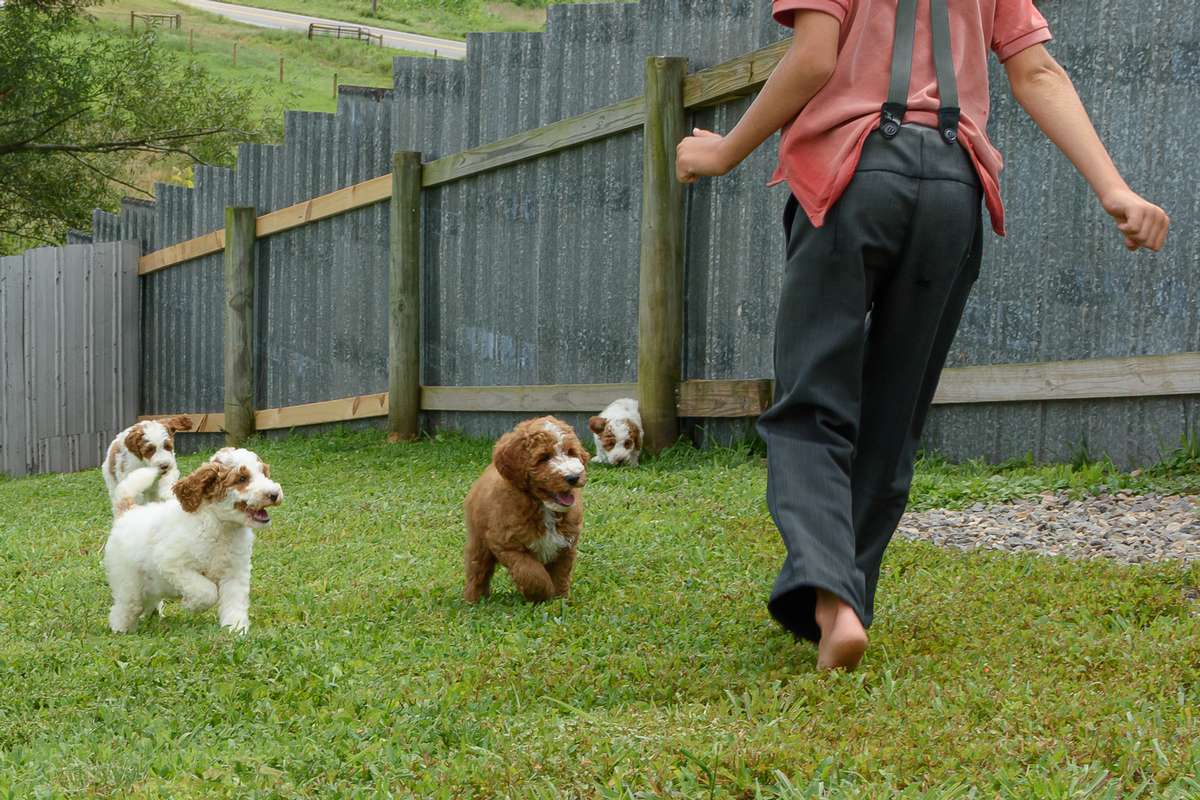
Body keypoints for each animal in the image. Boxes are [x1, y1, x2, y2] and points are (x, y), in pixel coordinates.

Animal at [102, 450, 282, 633]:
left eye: (264, 473)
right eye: (242, 478)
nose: (274, 494)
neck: (220, 525)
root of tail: (127, 512)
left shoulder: (235, 572)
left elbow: (234, 603)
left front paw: (235, 629)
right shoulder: (173, 564)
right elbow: (207, 591)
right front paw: (192, 605)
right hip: (128, 581)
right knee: (126, 607)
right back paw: (121, 629)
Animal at [460, 417, 588, 604]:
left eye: (571, 452)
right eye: (544, 457)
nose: (573, 477)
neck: (543, 506)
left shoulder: (565, 546)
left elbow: (560, 576)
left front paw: (559, 600)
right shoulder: (508, 545)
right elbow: (531, 574)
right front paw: (543, 595)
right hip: (479, 540)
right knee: (477, 570)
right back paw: (474, 599)